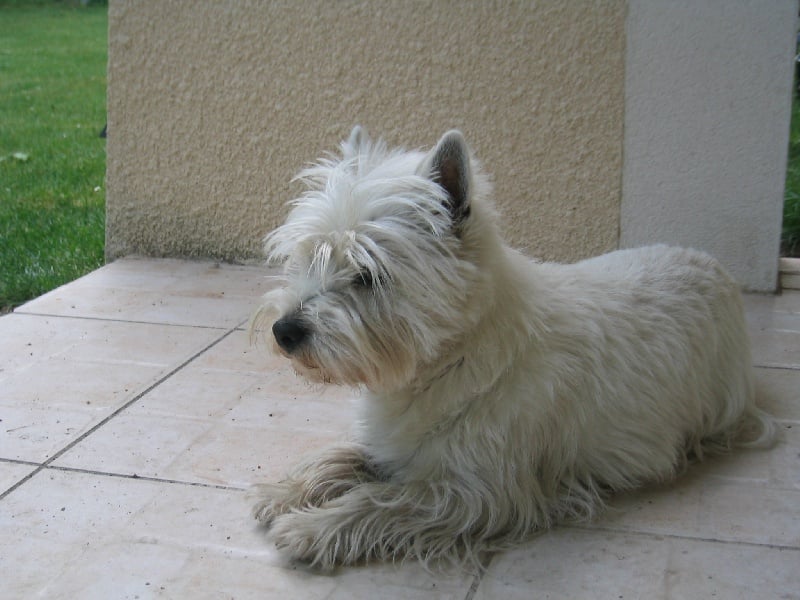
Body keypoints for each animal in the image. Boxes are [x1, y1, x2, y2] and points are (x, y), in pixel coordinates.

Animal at [250, 125, 776, 568]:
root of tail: (715, 266)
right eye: (307, 257)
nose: (284, 331)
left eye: (367, 275)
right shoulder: (395, 443)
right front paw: (285, 490)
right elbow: (341, 456)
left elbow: (379, 500)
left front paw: (310, 528)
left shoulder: (480, 490)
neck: (451, 360)